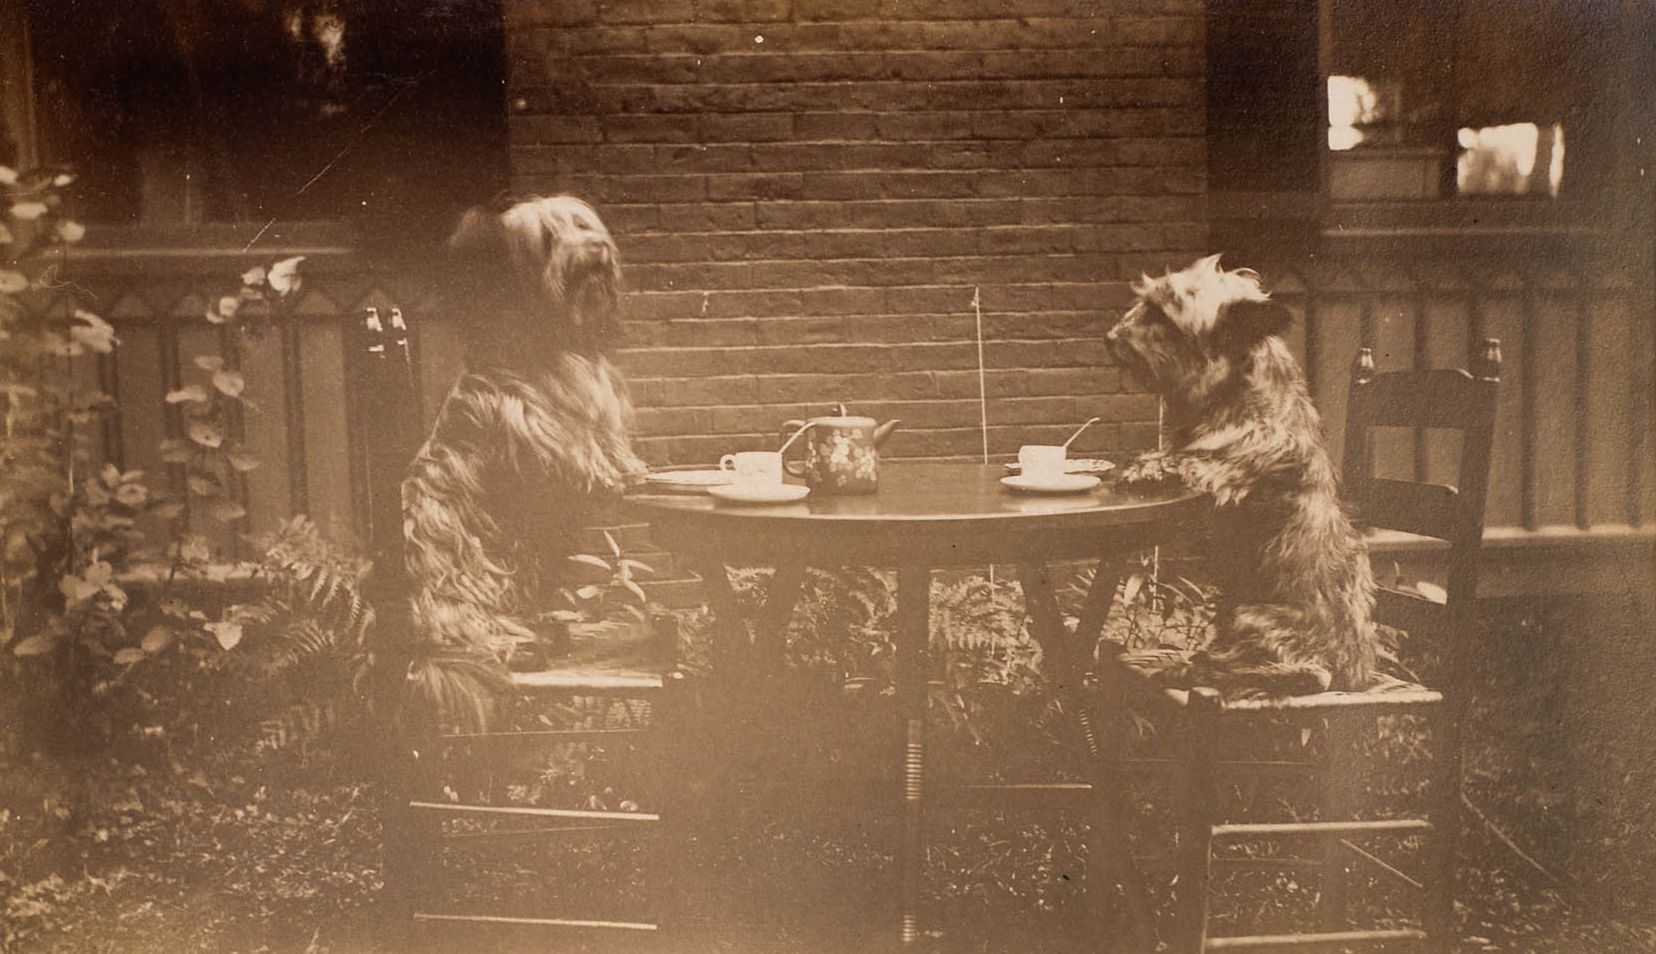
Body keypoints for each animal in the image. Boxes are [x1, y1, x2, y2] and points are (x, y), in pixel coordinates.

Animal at [397, 195, 648, 729]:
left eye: (582, 224)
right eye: (548, 240)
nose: (595, 249)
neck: (554, 336)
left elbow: (607, 438)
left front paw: (628, 464)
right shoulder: (541, 427)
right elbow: (579, 447)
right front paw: (610, 474)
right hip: (470, 574)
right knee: (473, 627)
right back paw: (517, 646)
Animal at [1105, 254, 1379, 696]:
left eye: (1163, 316)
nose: (1111, 338)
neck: (1236, 391)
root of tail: (1355, 674)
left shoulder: (1222, 470)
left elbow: (1187, 460)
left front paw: (1143, 467)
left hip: (1251, 618)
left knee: (1300, 673)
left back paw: (1197, 669)